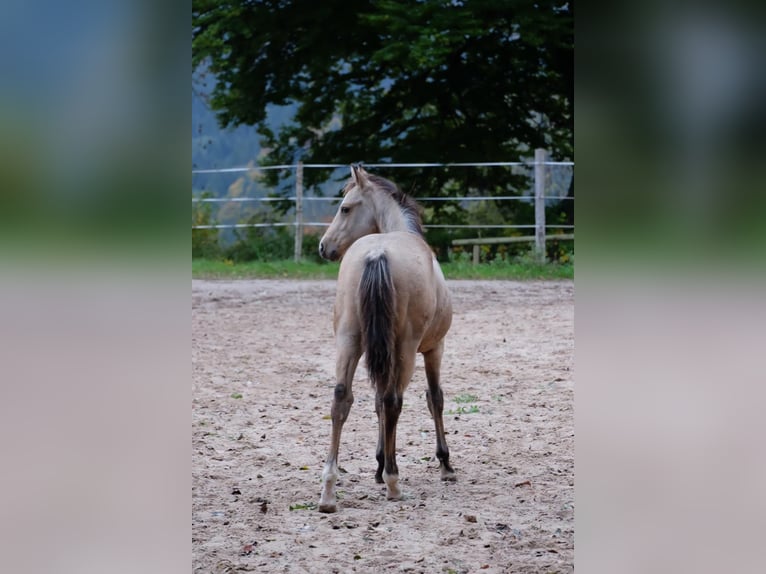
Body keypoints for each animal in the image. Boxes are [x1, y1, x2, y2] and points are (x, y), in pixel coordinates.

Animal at [317, 165, 456, 513]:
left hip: (350, 340)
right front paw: (445, 465)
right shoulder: (434, 349)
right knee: (394, 400)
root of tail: (377, 253)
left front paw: (379, 465)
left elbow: (377, 401)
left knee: (341, 399)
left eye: (345, 208)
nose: (323, 246)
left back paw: (328, 491)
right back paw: (394, 483)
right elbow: (434, 398)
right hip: (406, 348)